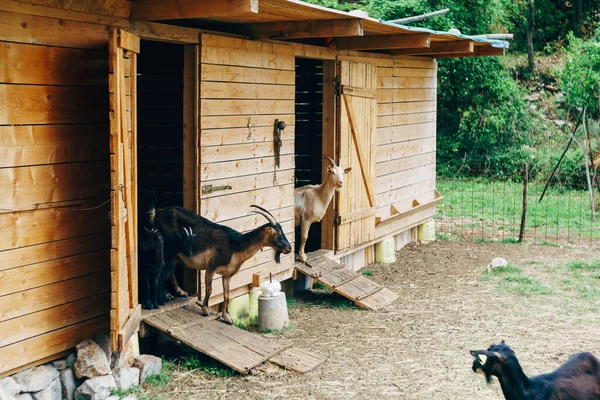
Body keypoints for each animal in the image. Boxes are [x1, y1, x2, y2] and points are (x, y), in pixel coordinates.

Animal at [149, 205, 292, 324]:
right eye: (276, 233)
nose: (289, 248)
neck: (234, 246)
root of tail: (157, 213)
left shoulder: (227, 274)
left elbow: (226, 295)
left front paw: (227, 318)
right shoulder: (210, 267)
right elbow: (209, 290)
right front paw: (205, 311)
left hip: (174, 257)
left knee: (170, 272)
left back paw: (179, 292)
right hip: (167, 252)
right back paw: (166, 296)